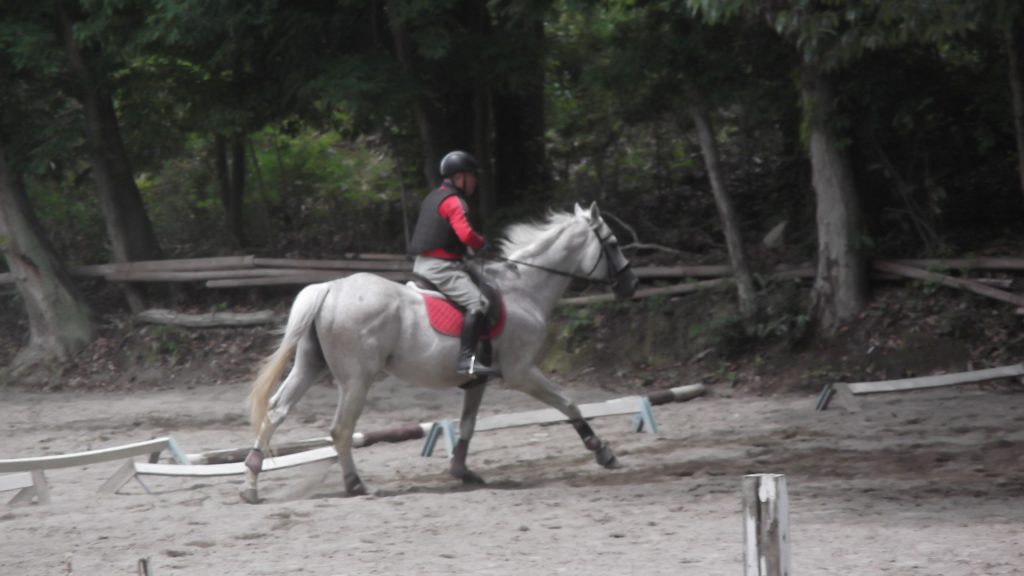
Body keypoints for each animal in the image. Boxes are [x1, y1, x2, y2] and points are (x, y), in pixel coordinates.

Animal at [242, 202, 638, 502]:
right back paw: (355, 484)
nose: (631, 286)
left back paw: (251, 483)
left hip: (310, 366)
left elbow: (467, 425)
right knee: (340, 429)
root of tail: (330, 288)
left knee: (276, 412)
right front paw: (603, 451)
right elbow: (569, 404)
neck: (524, 290)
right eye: (613, 243)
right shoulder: (522, 372)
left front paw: (461, 470)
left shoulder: (478, 380)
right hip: (357, 379)